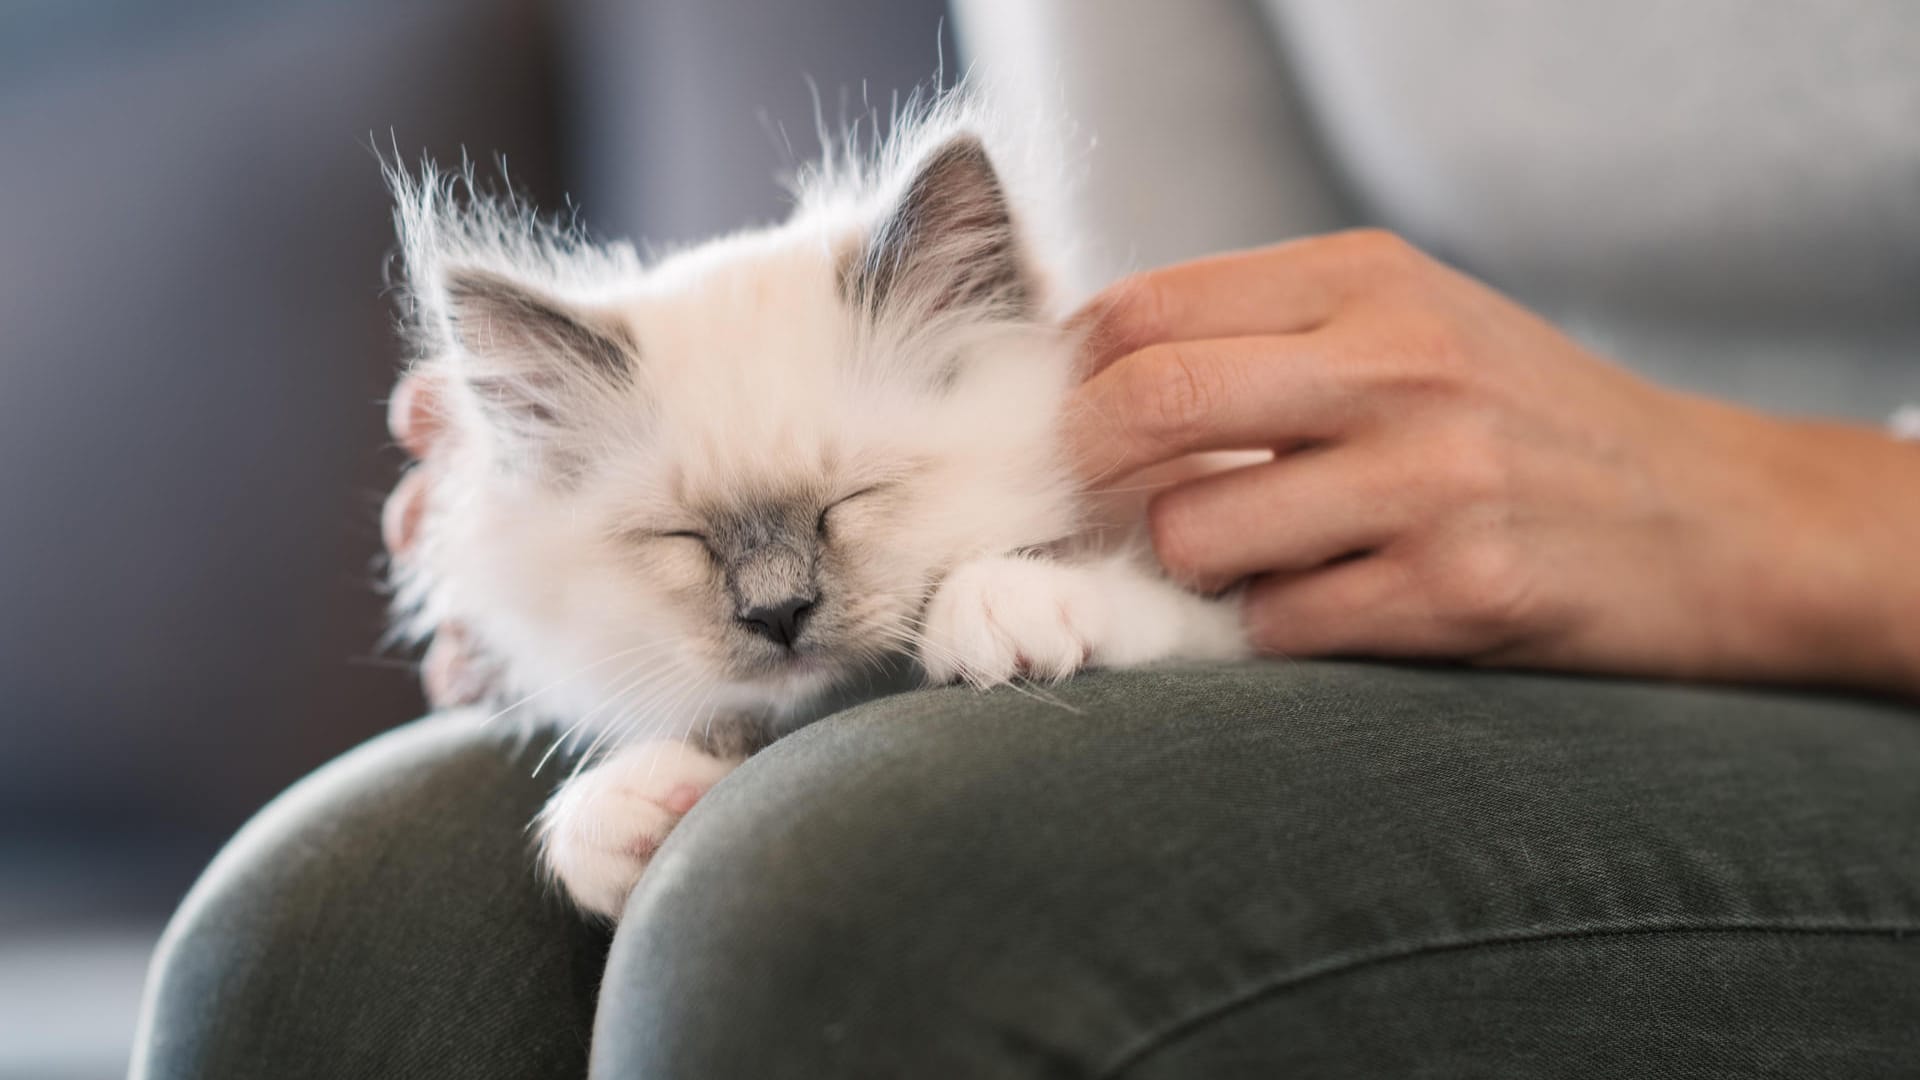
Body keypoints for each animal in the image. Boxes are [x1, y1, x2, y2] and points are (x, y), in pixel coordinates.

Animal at [387, 109, 1251, 914]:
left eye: (850, 502)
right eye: (684, 540)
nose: (778, 612)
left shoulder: (1234, 602)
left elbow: (1154, 604)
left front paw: (1006, 602)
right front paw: (623, 813)